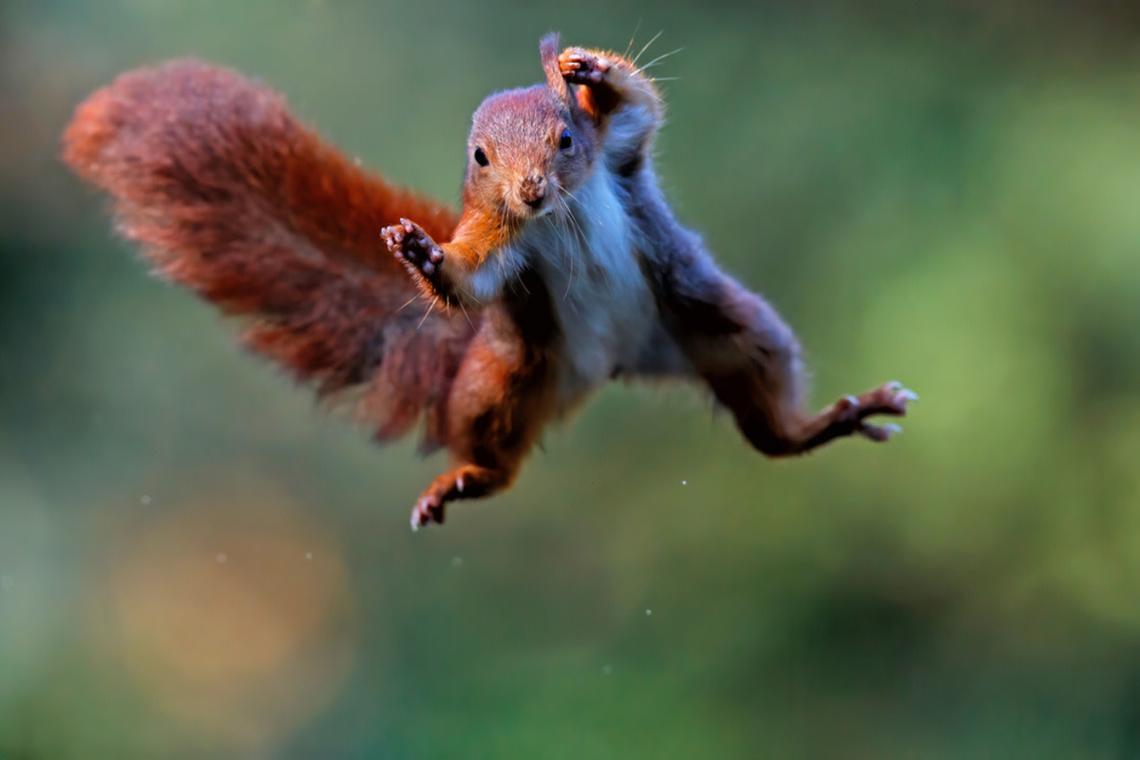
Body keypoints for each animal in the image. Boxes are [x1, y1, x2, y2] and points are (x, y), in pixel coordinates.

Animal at [62, 33, 916, 529]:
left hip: (718, 323)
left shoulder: (620, 153)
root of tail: (617, 362)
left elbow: (641, 106)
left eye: (565, 137)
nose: (530, 190)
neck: (558, 215)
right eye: (479, 158)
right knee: (499, 454)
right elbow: (468, 279)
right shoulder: (499, 243)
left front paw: (589, 68)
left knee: (768, 423)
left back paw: (830, 421)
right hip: (506, 377)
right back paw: (469, 479)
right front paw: (422, 255)